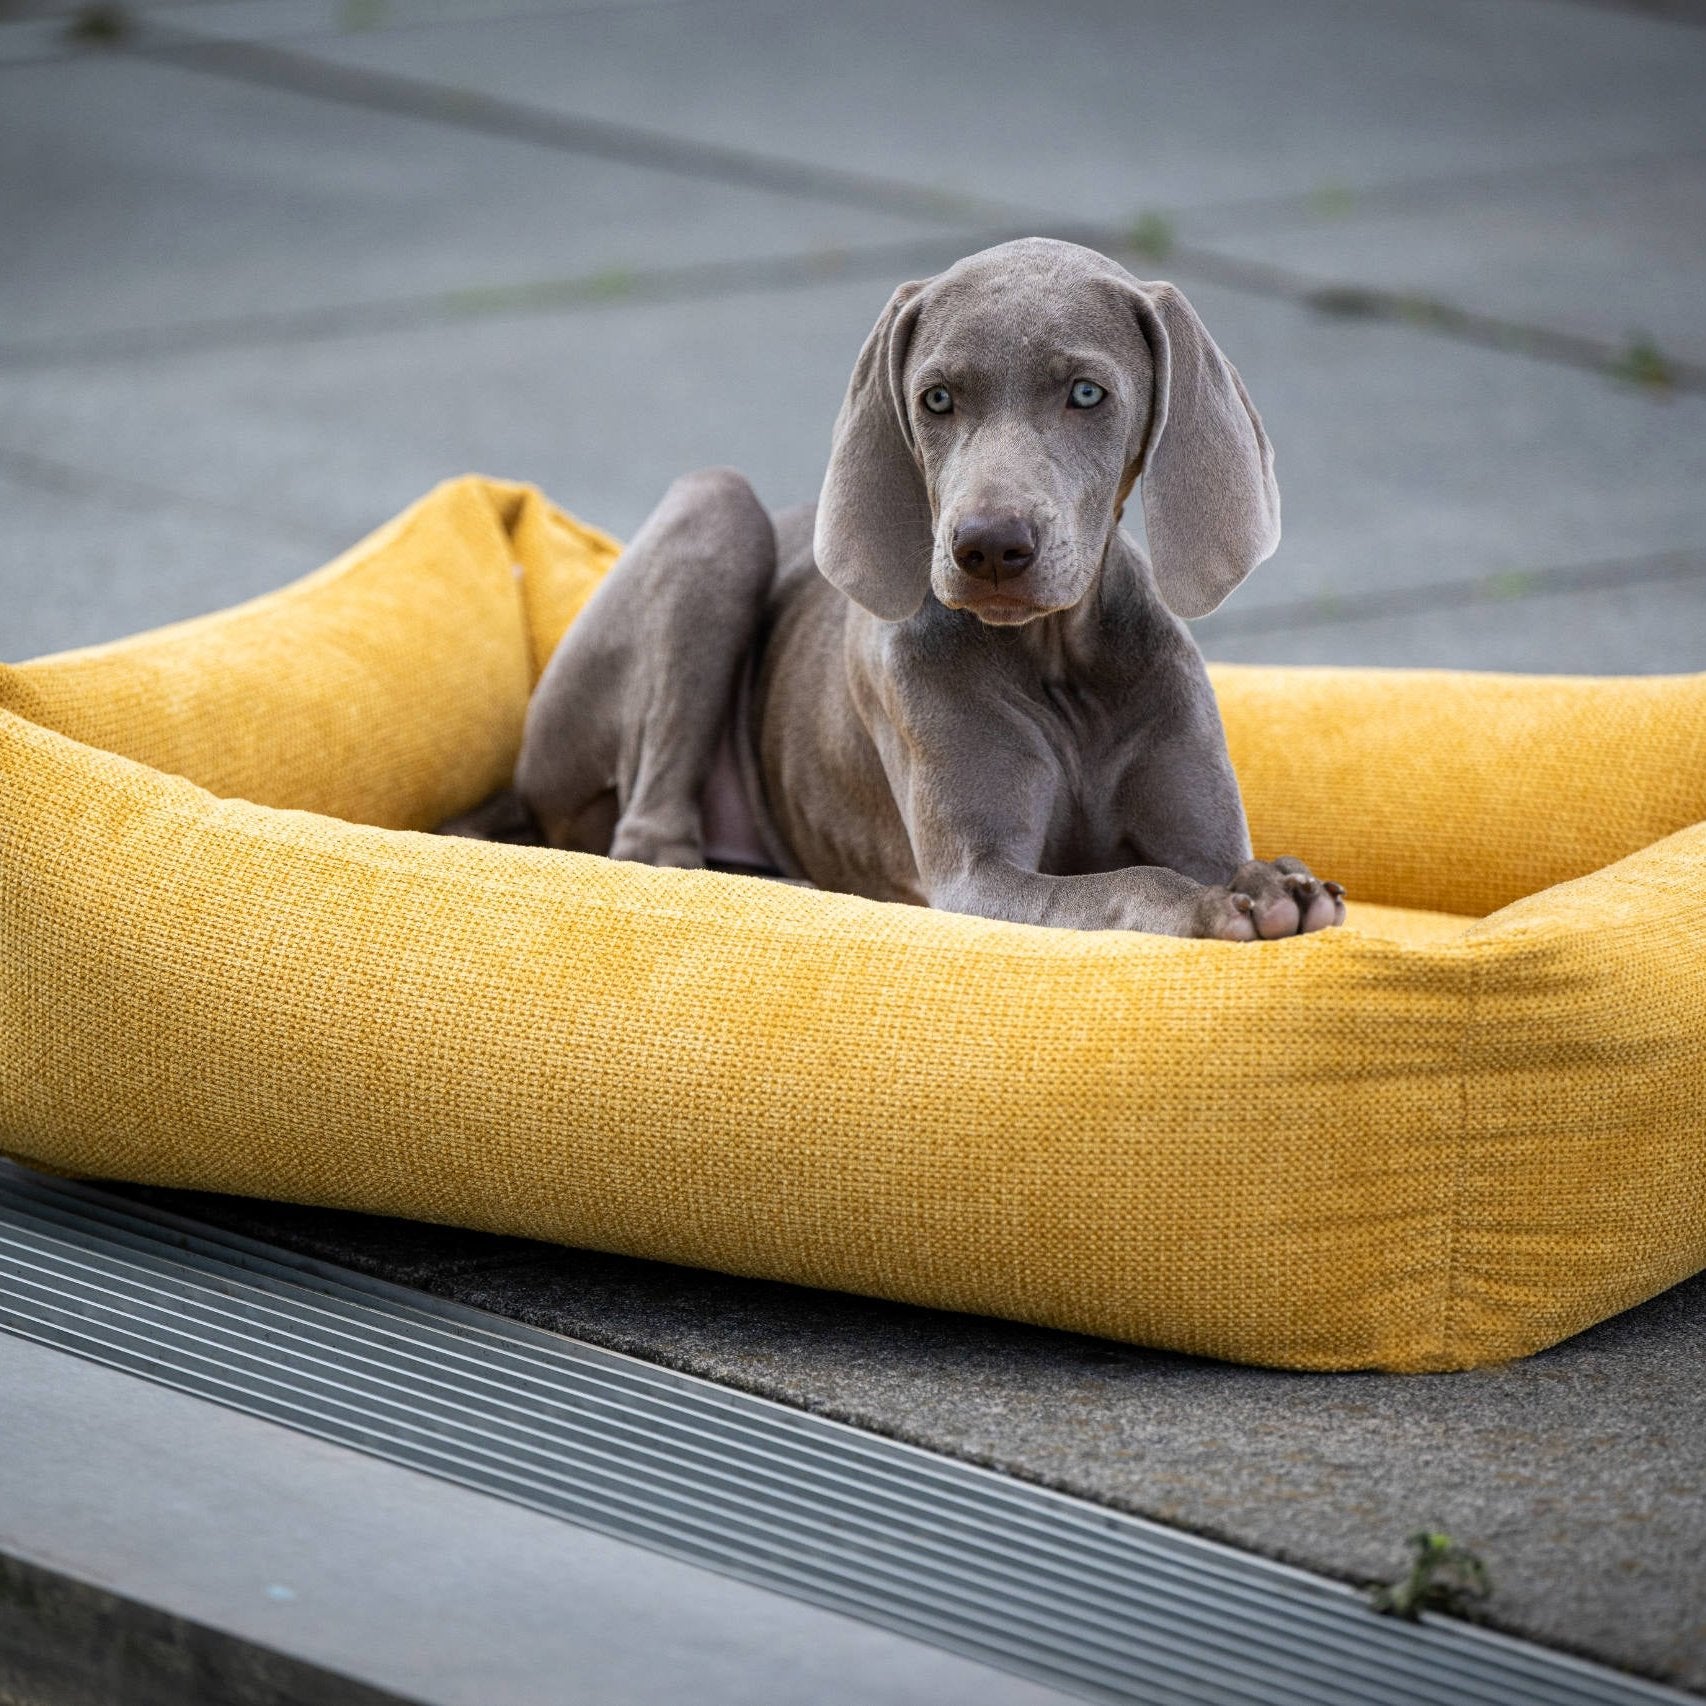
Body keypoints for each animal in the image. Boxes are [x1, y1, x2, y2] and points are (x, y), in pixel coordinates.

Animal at [443, 233, 1344, 941]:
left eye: (1087, 393)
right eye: (936, 398)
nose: (988, 548)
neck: (1056, 660)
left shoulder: (1202, 831)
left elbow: (1198, 861)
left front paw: (1276, 884)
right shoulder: (977, 879)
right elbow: (1132, 883)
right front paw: (1221, 906)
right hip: (714, 511)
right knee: (649, 841)